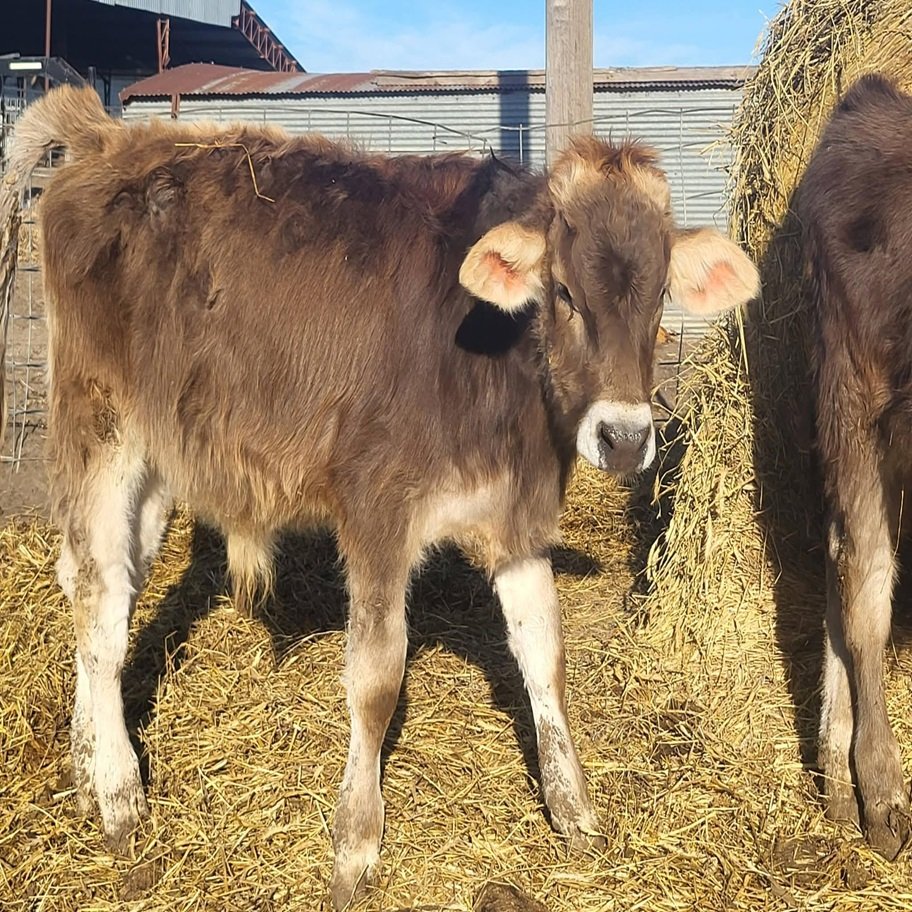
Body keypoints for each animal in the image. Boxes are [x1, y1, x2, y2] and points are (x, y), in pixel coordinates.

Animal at [7, 86, 759, 908]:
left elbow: (545, 656)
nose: (623, 438)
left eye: (659, 299)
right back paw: (117, 795)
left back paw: (83, 765)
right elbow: (376, 679)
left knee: (102, 579)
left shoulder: (517, 517)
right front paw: (356, 843)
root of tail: (107, 136)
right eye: (563, 291)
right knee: (100, 603)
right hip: (98, 422)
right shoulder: (376, 510)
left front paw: (574, 807)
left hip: (155, 449)